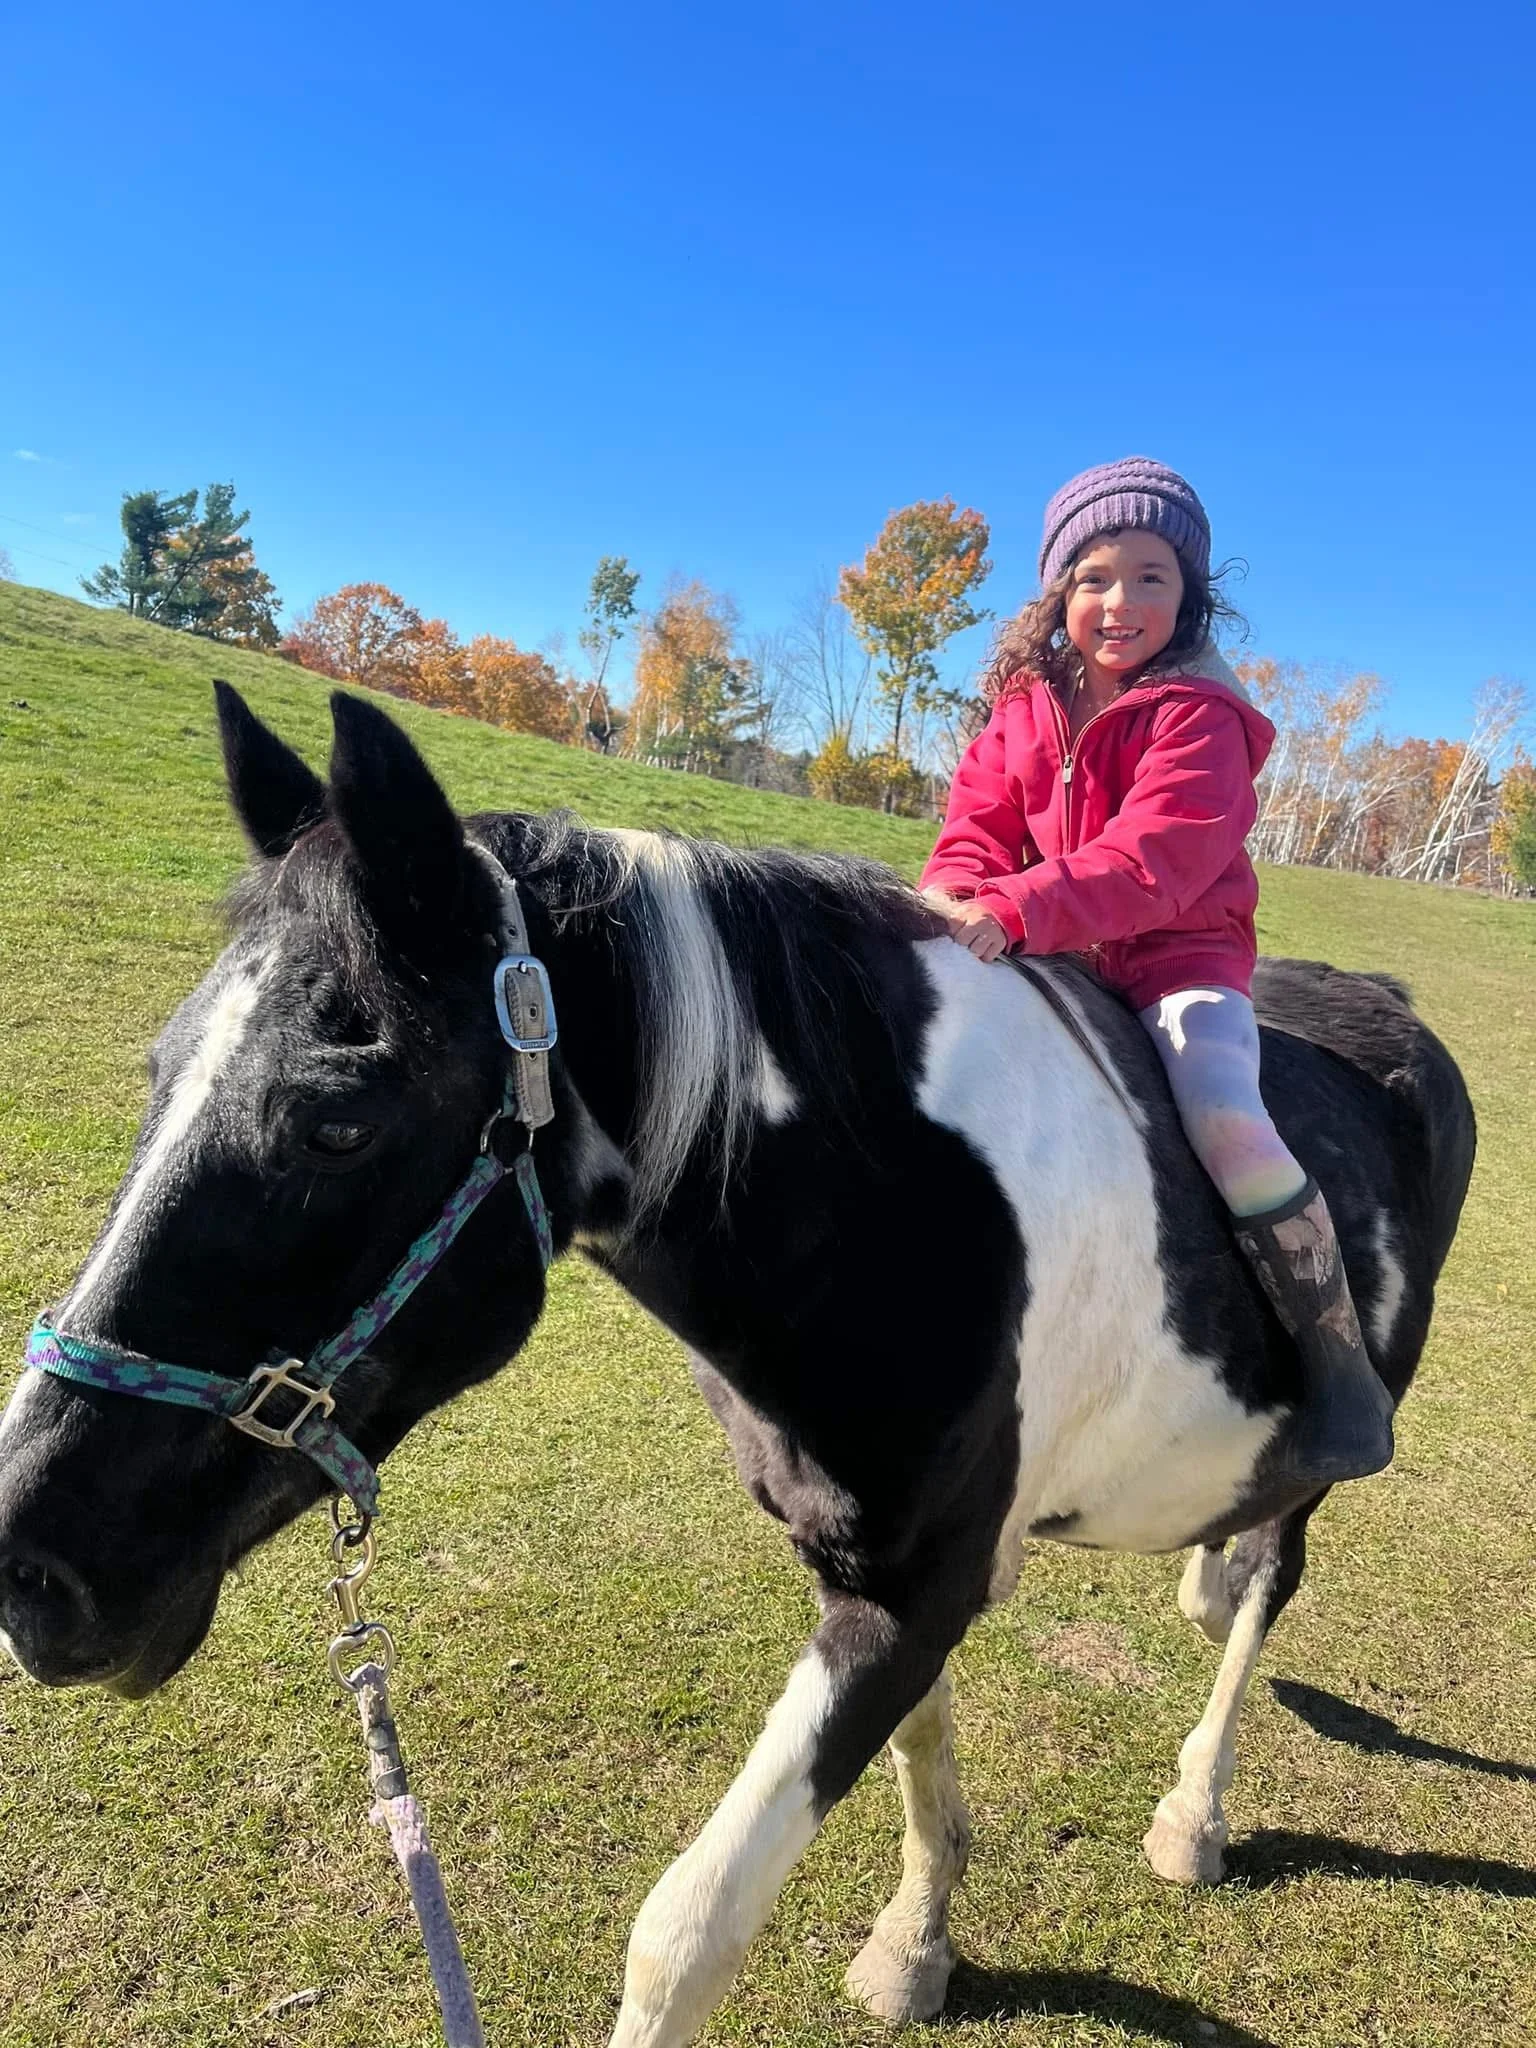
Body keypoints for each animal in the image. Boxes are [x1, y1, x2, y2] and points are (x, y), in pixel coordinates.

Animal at [0, 684, 1476, 2047]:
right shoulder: (880, 1566)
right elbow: (922, 1752)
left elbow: (684, 1931)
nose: (29, 1565)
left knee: (1278, 1571)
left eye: (335, 1124)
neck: (901, 1208)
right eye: (157, 1071)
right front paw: (917, 1941)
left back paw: (1196, 1804)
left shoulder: (909, 1590)